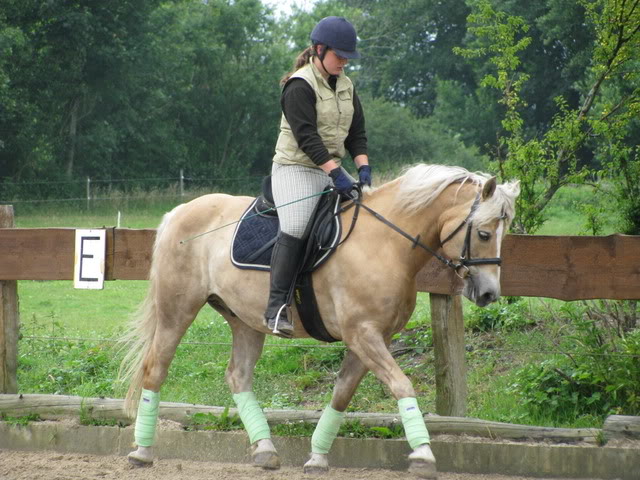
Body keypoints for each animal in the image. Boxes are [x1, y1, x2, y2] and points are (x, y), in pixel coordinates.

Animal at [119, 163, 520, 478]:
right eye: (484, 233)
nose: (489, 294)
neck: (384, 242)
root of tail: (180, 211)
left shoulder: (372, 339)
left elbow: (342, 395)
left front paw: (317, 457)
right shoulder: (363, 334)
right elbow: (402, 386)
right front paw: (422, 454)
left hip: (244, 320)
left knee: (238, 375)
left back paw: (265, 450)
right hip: (177, 310)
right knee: (155, 369)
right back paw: (142, 452)